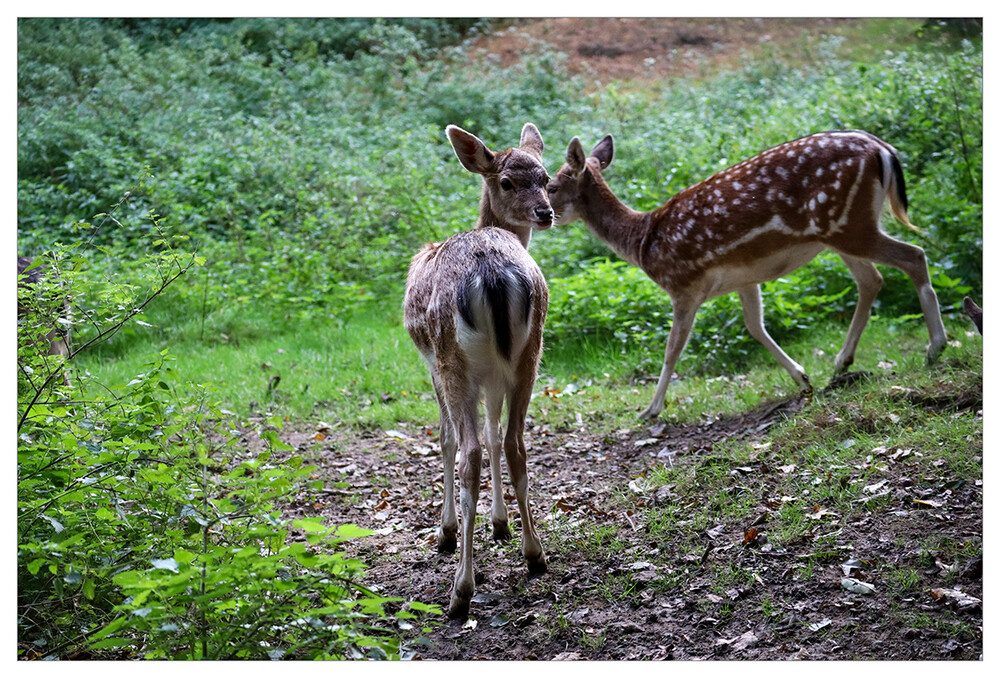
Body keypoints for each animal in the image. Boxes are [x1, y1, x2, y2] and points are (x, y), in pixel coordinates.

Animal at [400, 123, 556, 620]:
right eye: (507, 181)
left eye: (545, 178)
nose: (545, 212)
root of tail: (491, 271)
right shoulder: (494, 376)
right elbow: (493, 434)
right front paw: (500, 524)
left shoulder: (432, 364)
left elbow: (446, 439)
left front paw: (446, 533)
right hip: (530, 352)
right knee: (514, 442)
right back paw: (535, 555)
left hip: (452, 358)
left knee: (467, 451)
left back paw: (460, 590)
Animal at [548, 131, 944, 420]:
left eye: (551, 186)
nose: (544, 214)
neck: (644, 242)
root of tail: (882, 149)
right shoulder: (744, 279)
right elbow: (755, 327)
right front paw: (802, 378)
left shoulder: (683, 285)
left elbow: (673, 348)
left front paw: (651, 409)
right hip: (842, 229)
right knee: (872, 279)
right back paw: (841, 361)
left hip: (847, 224)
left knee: (914, 255)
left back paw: (935, 347)